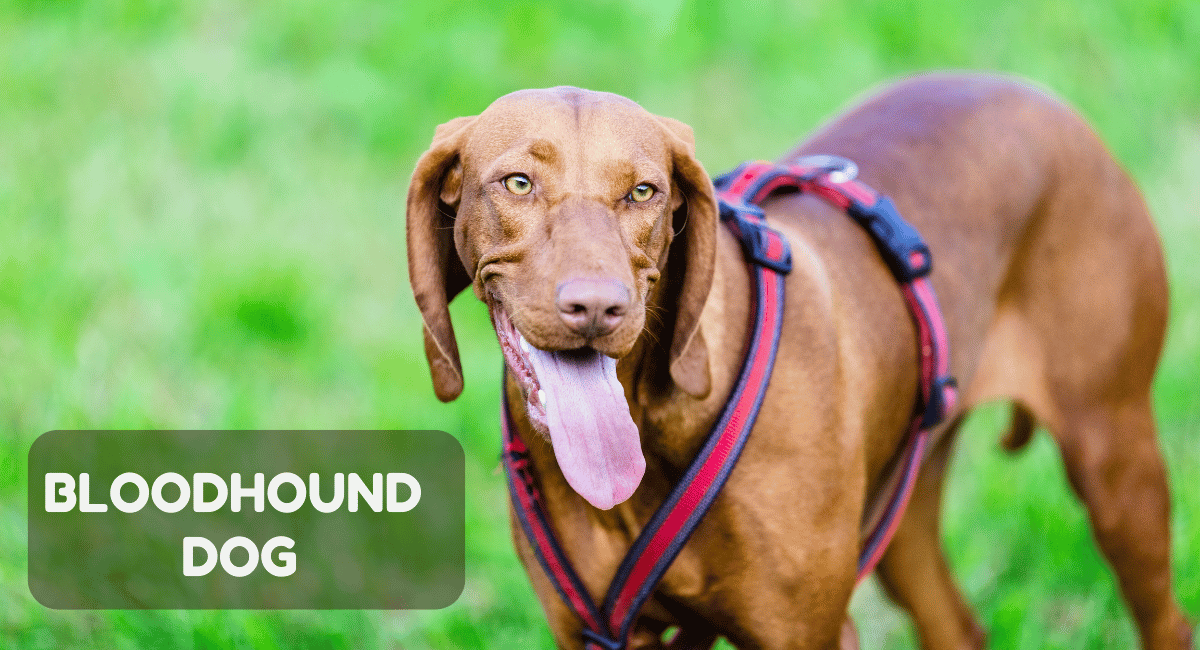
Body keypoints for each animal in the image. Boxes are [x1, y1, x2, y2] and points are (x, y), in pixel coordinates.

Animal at [405, 71, 1190, 650]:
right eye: (516, 183)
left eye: (643, 191)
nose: (598, 308)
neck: (657, 427)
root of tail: (1046, 100)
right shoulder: (592, 635)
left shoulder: (805, 631)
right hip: (906, 509)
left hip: (1115, 465)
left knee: (1165, 616)